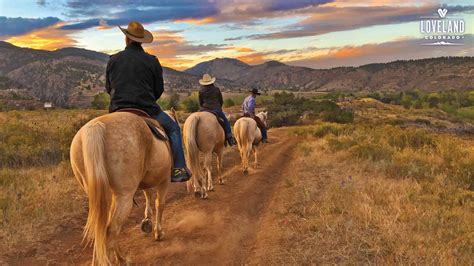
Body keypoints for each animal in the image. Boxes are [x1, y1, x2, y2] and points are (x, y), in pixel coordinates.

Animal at [67, 109, 177, 264]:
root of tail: (95, 127)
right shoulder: (164, 179)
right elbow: (159, 204)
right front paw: (158, 232)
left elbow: (148, 195)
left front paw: (147, 221)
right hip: (124, 196)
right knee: (111, 230)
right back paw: (115, 259)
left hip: (105, 196)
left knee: (104, 228)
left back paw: (120, 259)